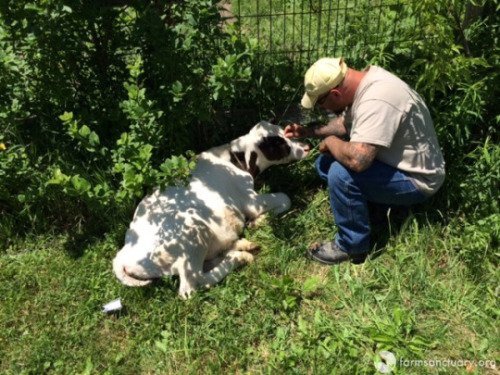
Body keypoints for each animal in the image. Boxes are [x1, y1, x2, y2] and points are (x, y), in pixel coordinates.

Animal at [113, 122, 308, 298]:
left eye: (285, 131)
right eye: (279, 143)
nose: (307, 147)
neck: (232, 159)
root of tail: (123, 256)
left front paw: (255, 223)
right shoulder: (250, 201)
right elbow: (285, 198)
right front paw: (257, 221)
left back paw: (241, 246)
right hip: (193, 232)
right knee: (193, 285)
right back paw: (238, 258)